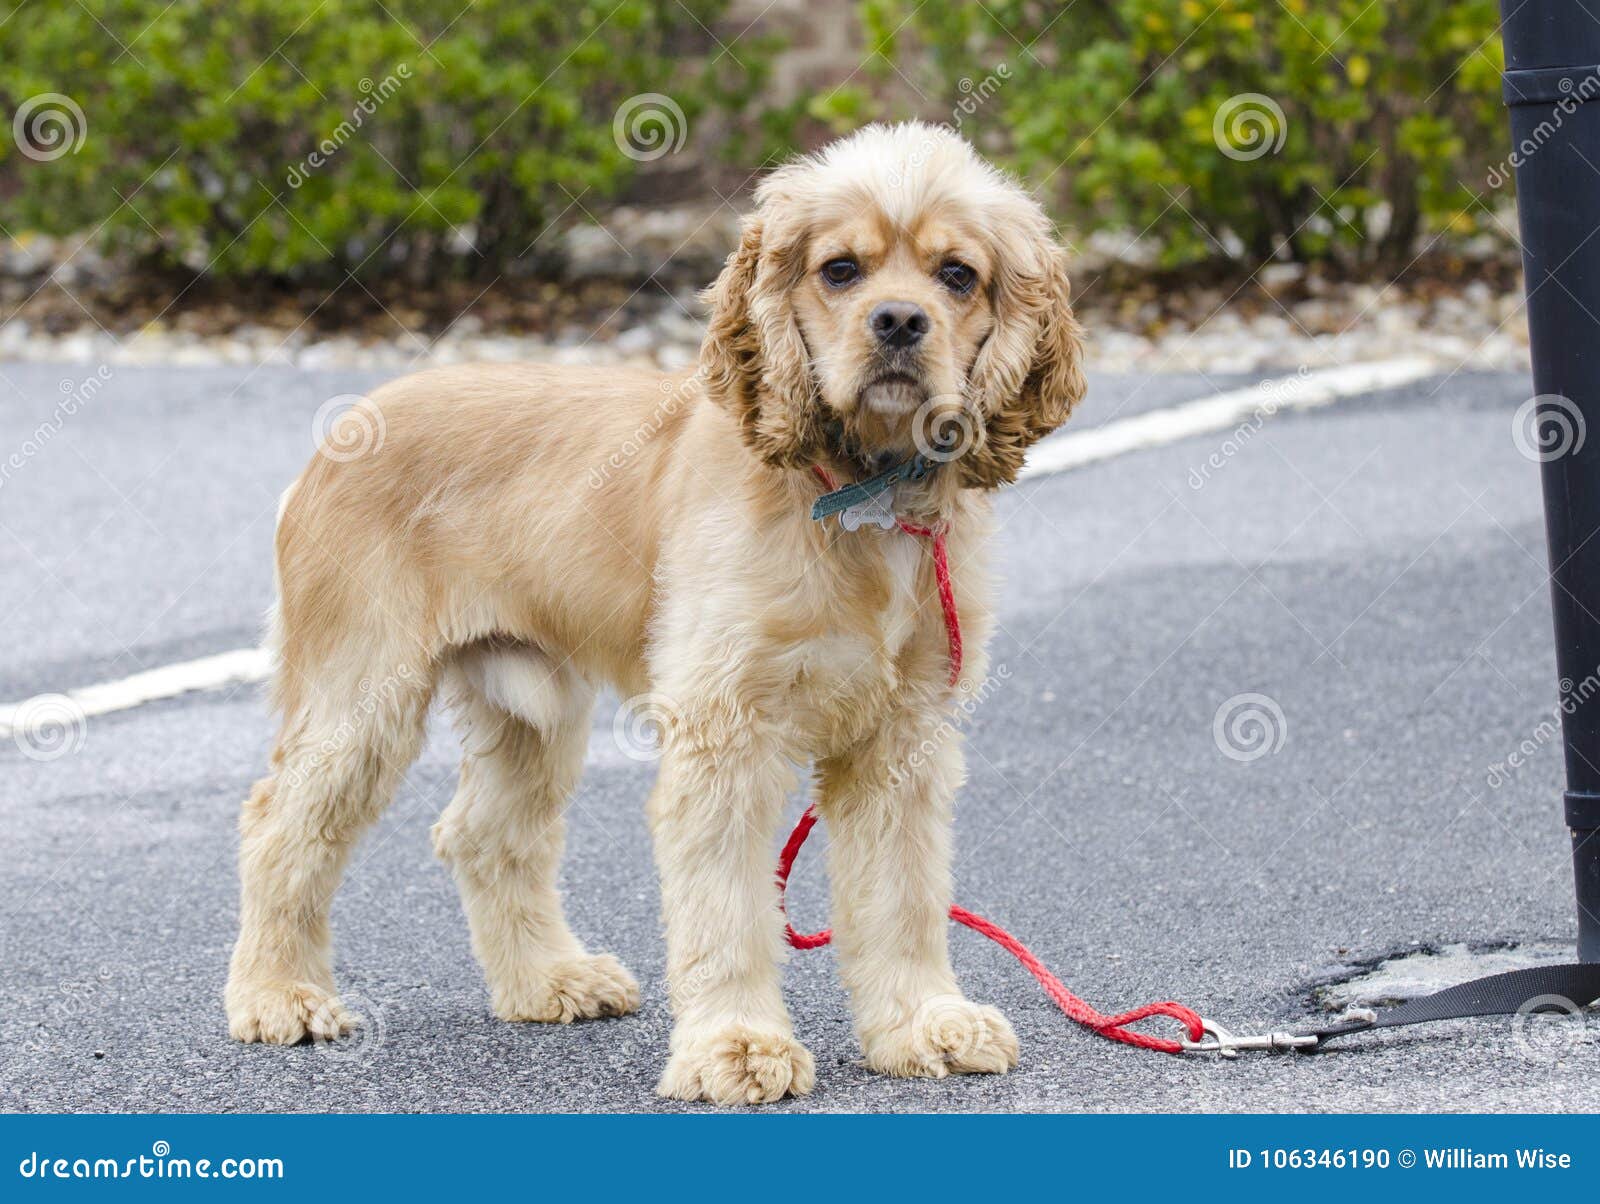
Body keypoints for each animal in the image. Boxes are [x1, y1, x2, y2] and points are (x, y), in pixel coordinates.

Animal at [225, 120, 1088, 1101]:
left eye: (956, 274)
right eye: (839, 270)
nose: (900, 323)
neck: (855, 496)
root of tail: (346, 423)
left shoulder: (902, 736)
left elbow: (904, 896)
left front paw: (924, 1024)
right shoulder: (725, 729)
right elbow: (727, 909)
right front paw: (737, 1047)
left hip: (532, 705)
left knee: (481, 834)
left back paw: (548, 981)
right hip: (362, 693)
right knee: (279, 823)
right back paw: (279, 996)